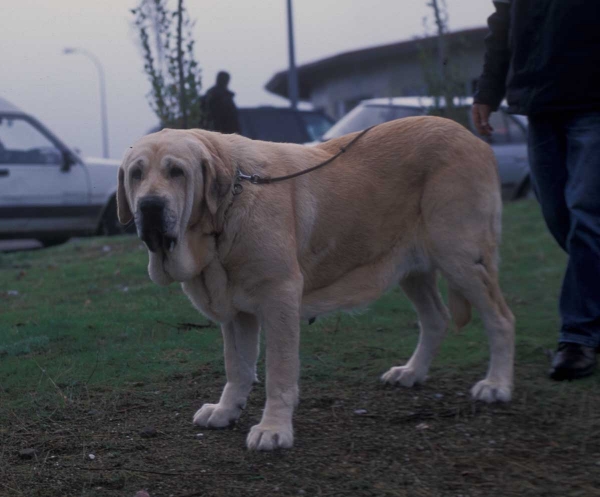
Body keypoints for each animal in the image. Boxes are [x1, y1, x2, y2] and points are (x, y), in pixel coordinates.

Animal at [117, 116, 516, 450]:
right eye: (136, 174)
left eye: (176, 172)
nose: (150, 206)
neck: (226, 210)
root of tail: (474, 138)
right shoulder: (235, 312)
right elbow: (237, 366)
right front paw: (226, 410)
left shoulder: (279, 298)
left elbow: (278, 371)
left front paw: (273, 429)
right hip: (411, 268)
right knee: (436, 318)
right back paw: (412, 372)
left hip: (461, 256)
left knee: (501, 319)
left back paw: (496, 385)